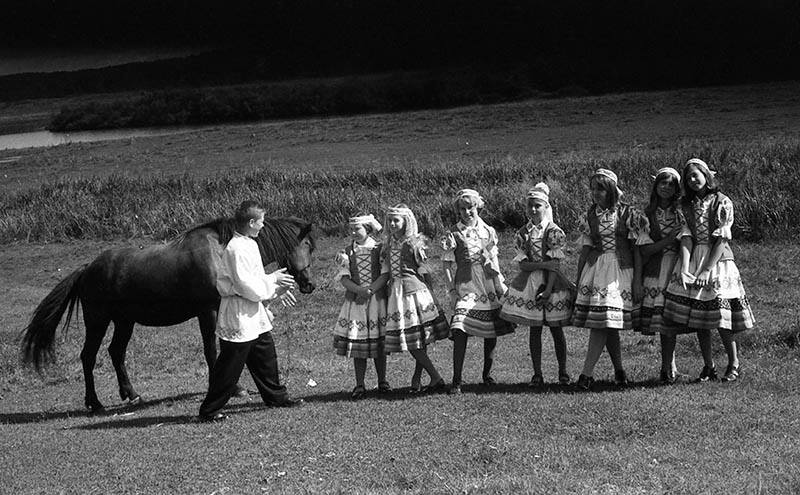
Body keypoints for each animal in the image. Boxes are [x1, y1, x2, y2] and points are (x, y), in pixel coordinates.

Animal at [19, 215, 316, 412]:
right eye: (307, 246)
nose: (309, 285)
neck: (219, 254)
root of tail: (87, 268)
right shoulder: (207, 311)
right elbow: (212, 351)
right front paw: (233, 388)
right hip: (98, 321)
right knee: (88, 356)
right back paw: (95, 403)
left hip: (124, 322)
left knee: (116, 353)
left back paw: (132, 395)